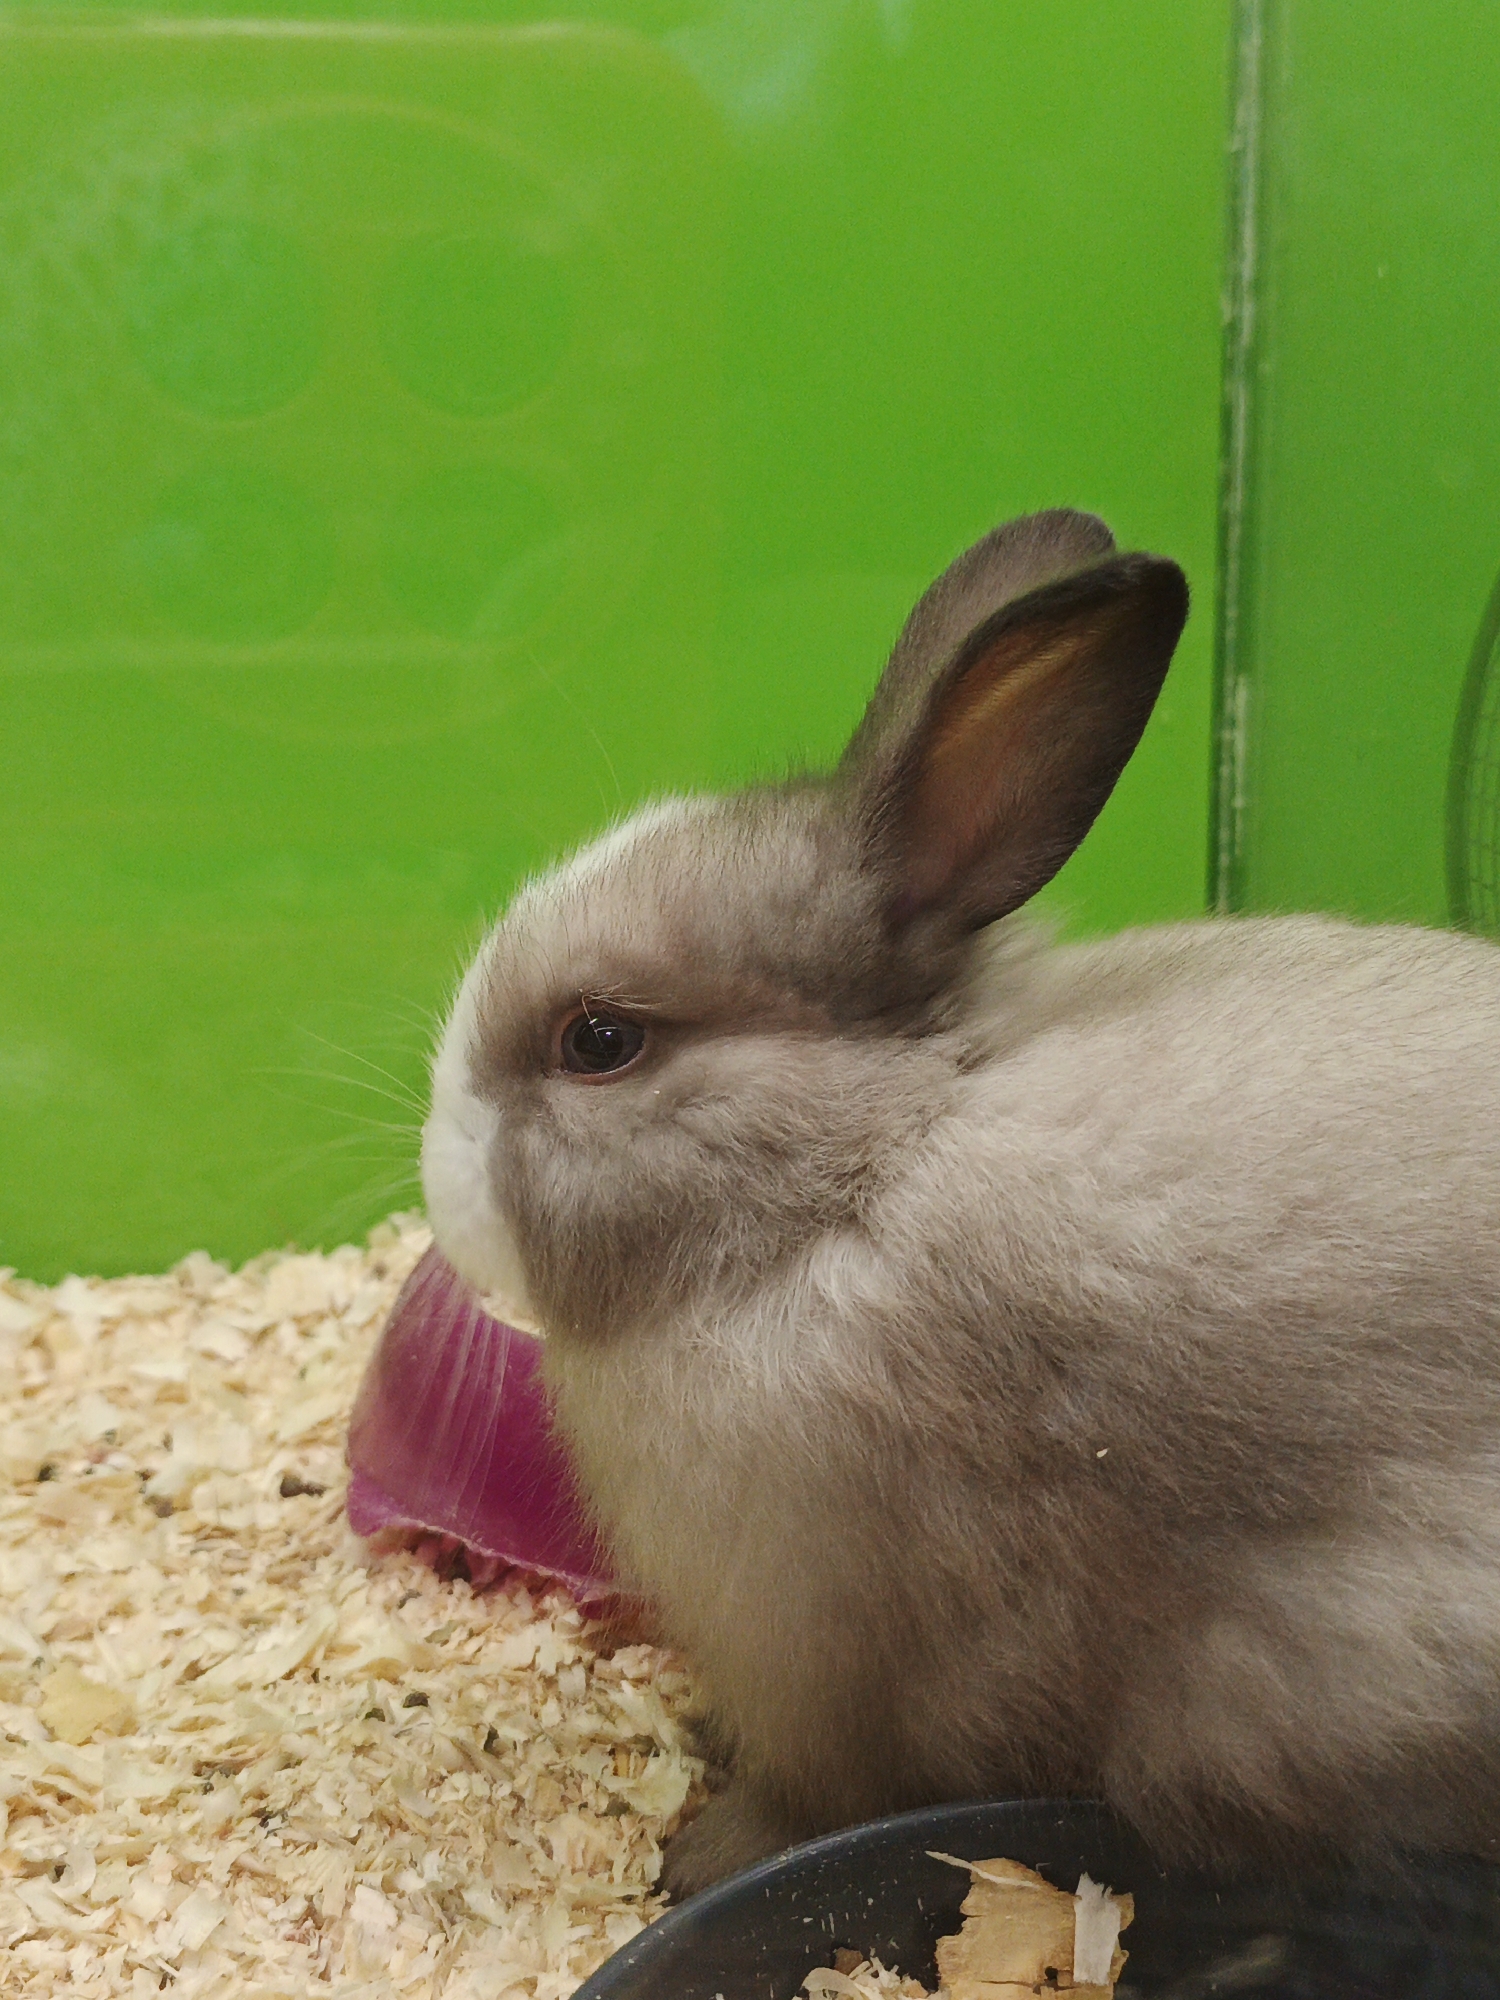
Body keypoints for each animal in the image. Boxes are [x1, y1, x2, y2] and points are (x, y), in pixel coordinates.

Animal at [420, 506, 1500, 1897]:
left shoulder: (843, 1659)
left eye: (599, 1040)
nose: (438, 1181)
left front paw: (700, 1853)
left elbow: (822, 1788)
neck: (854, 1179)